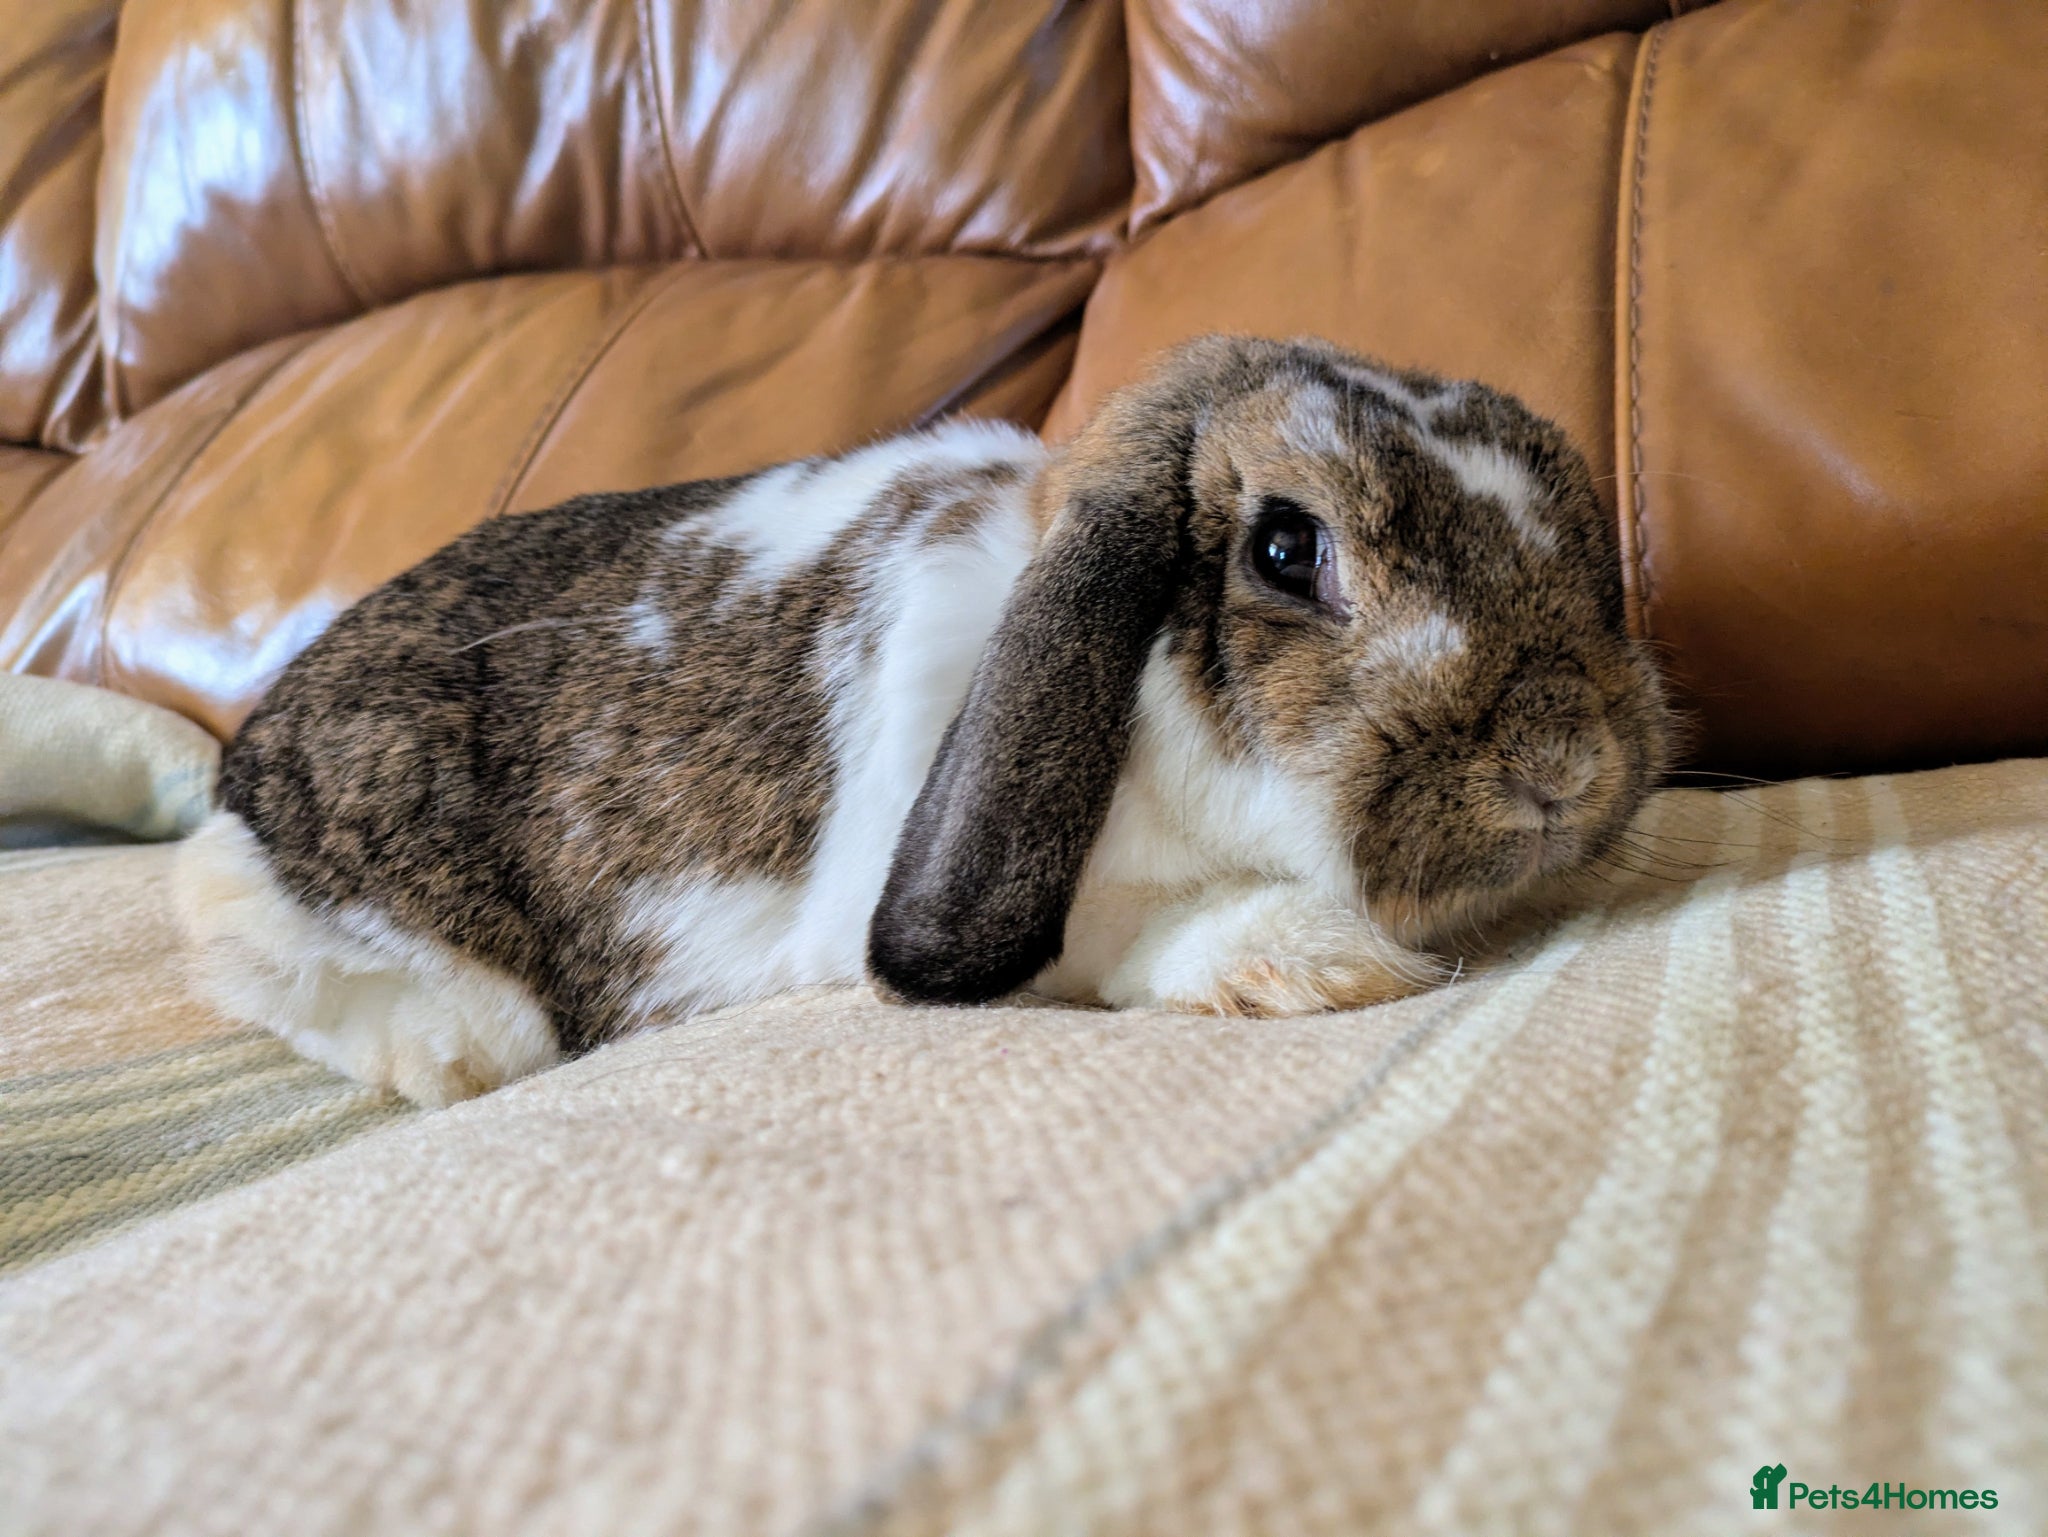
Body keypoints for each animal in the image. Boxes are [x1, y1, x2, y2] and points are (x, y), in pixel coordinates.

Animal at [175, 334, 1671, 1105]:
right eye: (1288, 551)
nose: (1560, 762)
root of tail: (244, 762)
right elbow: (1108, 937)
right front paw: (1310, 956)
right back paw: (449, 1054)